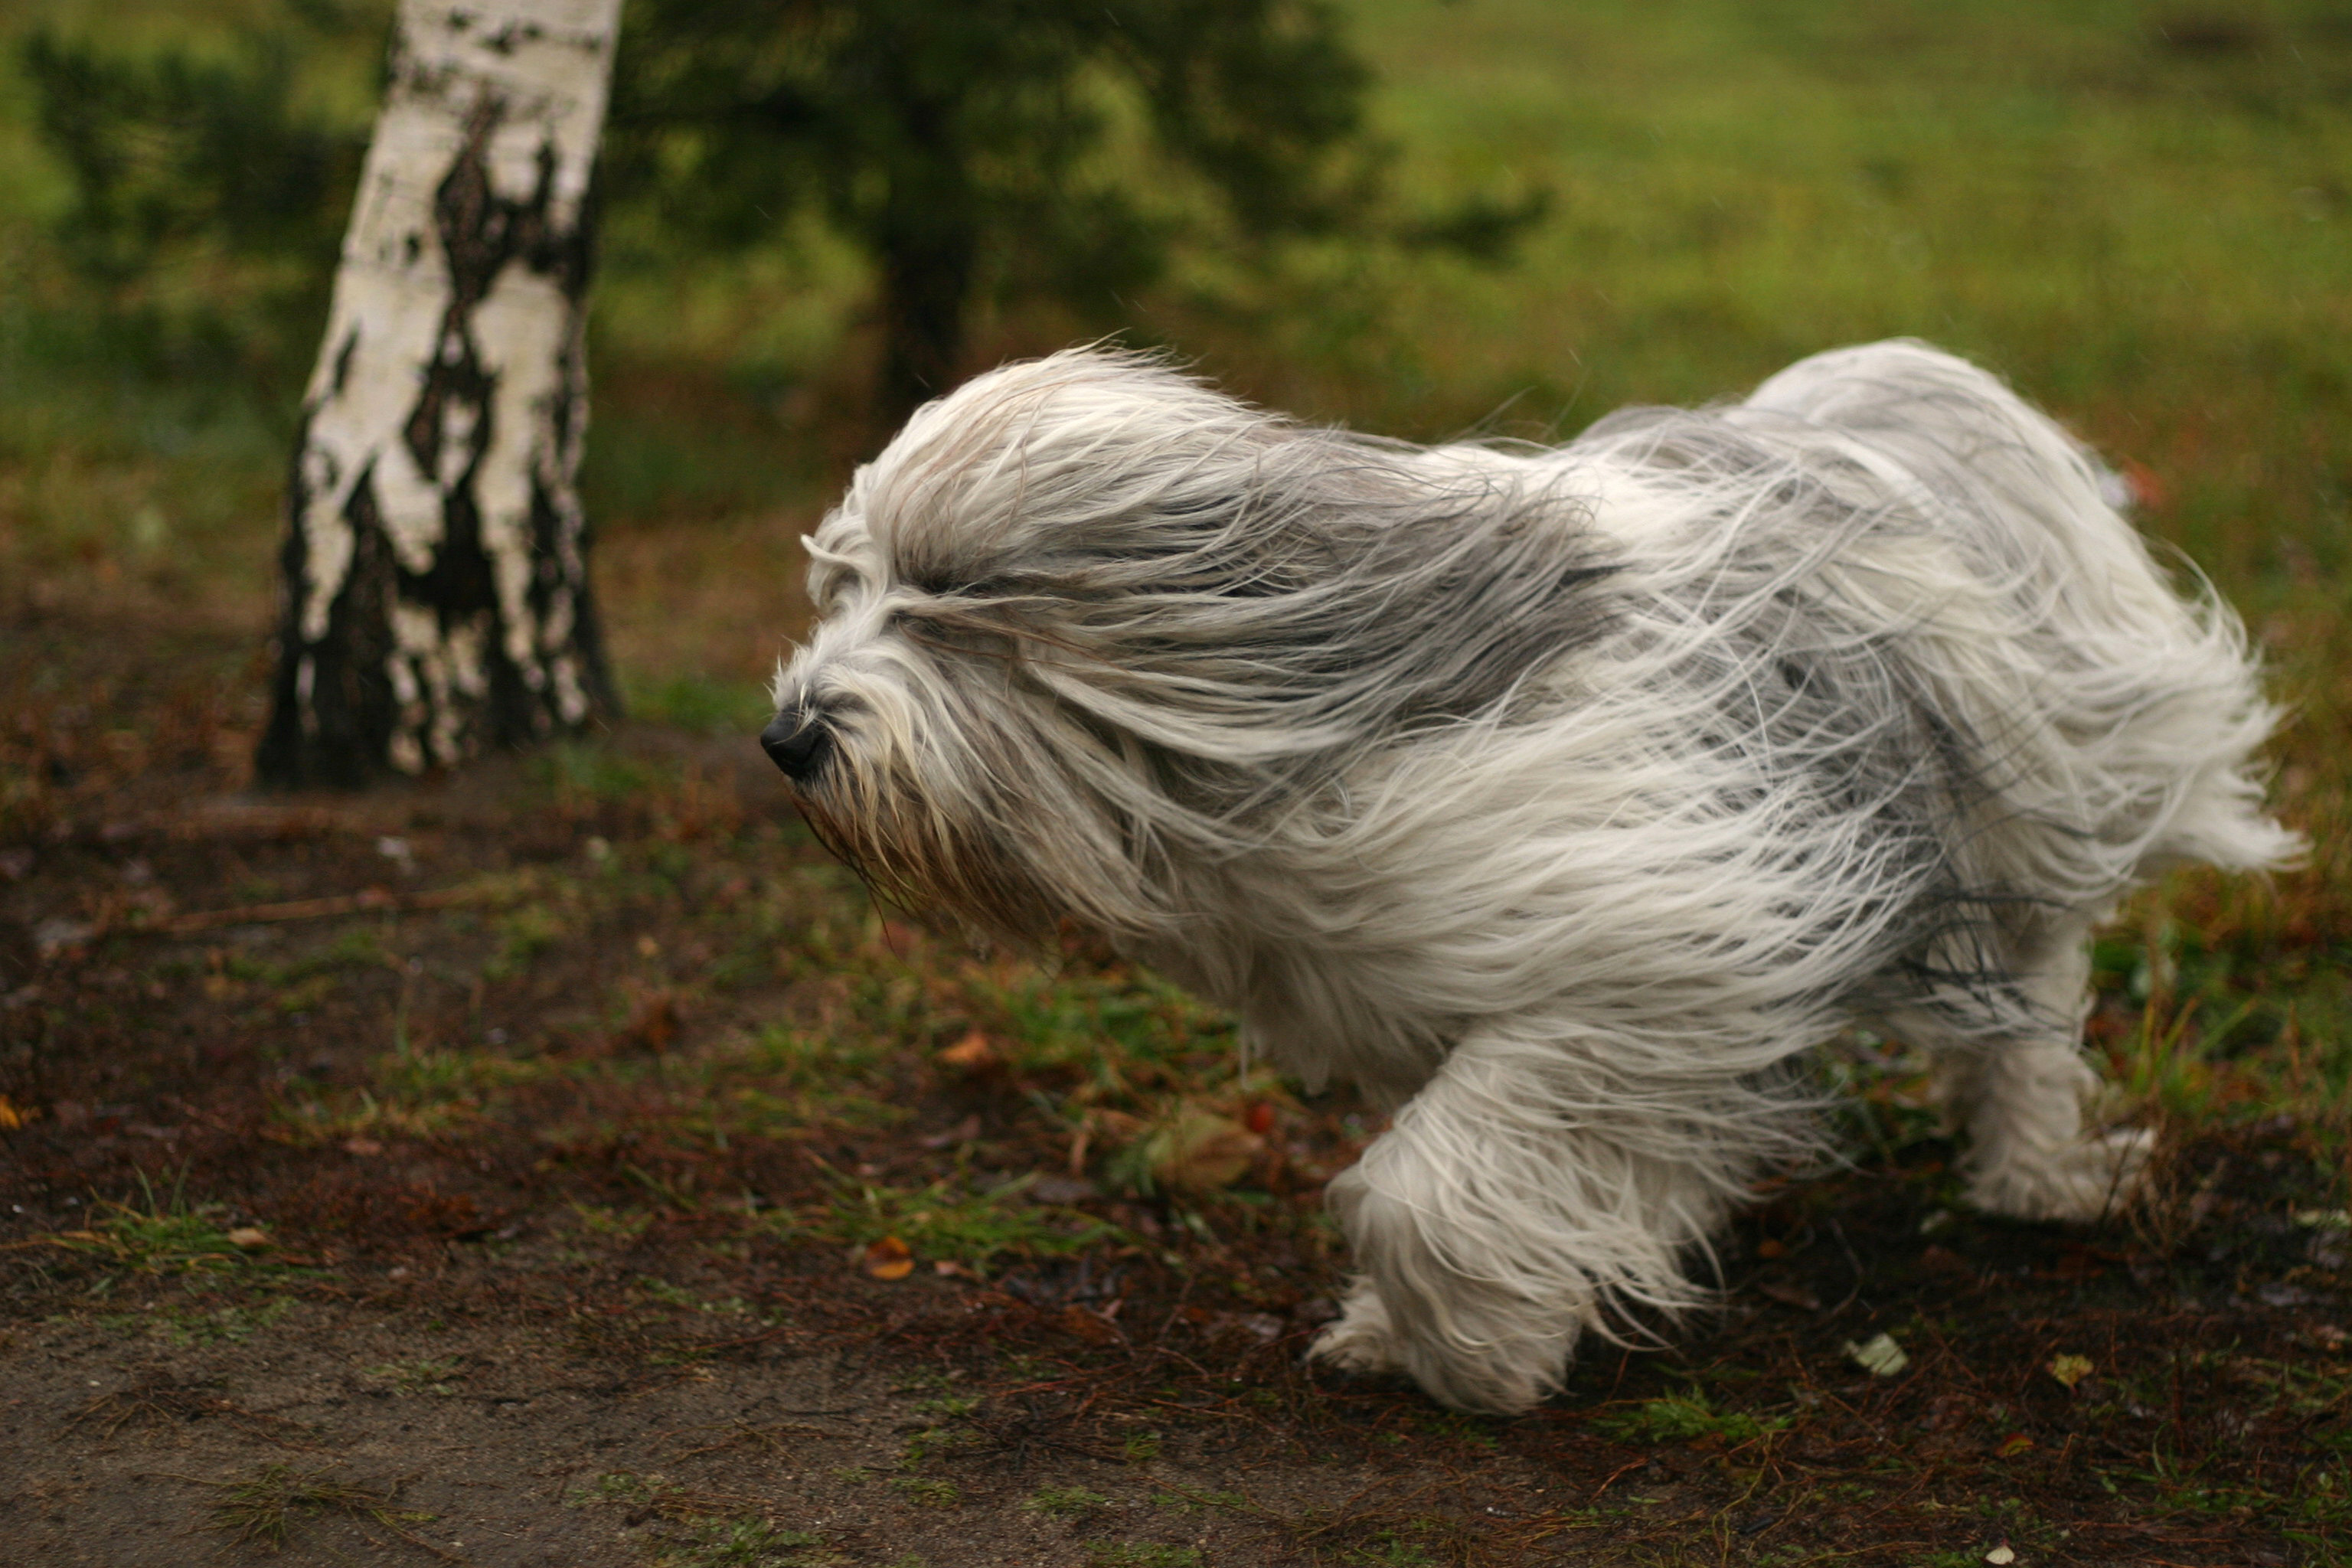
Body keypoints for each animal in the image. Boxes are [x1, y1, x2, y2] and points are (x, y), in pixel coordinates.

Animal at [757, 345, 2295, 1419]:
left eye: (953, 603)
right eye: (846, 588)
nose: (788, 737)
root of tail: (1897, 393)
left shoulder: (1658, 956)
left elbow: (1432, 1182)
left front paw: (1477, 1352)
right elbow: (1506, 1163)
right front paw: (1427, 1321)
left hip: (2040, 795)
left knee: (2036, 984)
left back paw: (2034, 1173)